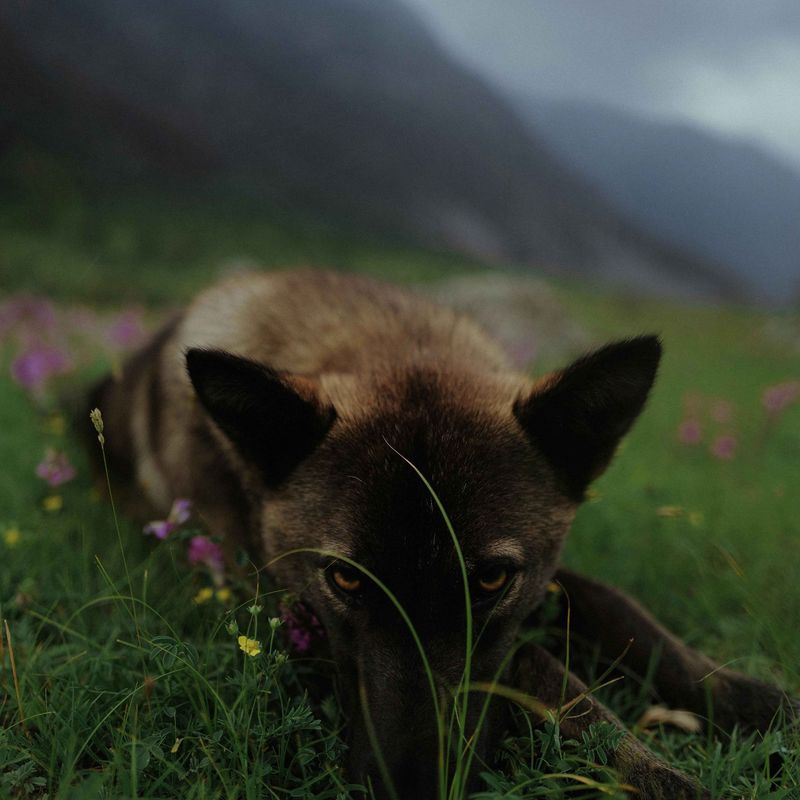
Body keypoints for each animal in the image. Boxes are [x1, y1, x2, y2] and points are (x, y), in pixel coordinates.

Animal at [92, 269, 796, 798]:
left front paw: (762, 706)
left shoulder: (544, 580)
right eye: (344, 580)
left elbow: (632, 619)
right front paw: (659, 776)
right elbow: (550, 675)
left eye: (491, 579)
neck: (396, 345)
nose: (413, 790)